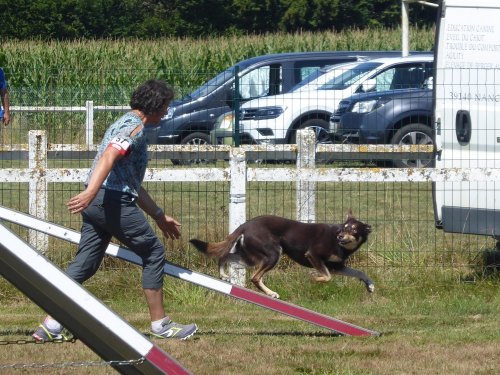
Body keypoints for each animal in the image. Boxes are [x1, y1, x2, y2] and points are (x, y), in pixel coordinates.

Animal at [189, 212, 374, 300]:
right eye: (343, 228)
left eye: (353, 230)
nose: (340, 236)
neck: (337, 242)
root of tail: (245, 225)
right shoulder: (313, 255)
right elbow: (326, 277)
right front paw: (314, 277)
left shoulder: (336, 266)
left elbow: (360, 272)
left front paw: (370, 285)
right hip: (272, 254)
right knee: (255, 277)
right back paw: (271, 293)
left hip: (249, 256)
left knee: (225, 257)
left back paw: (223, 275)